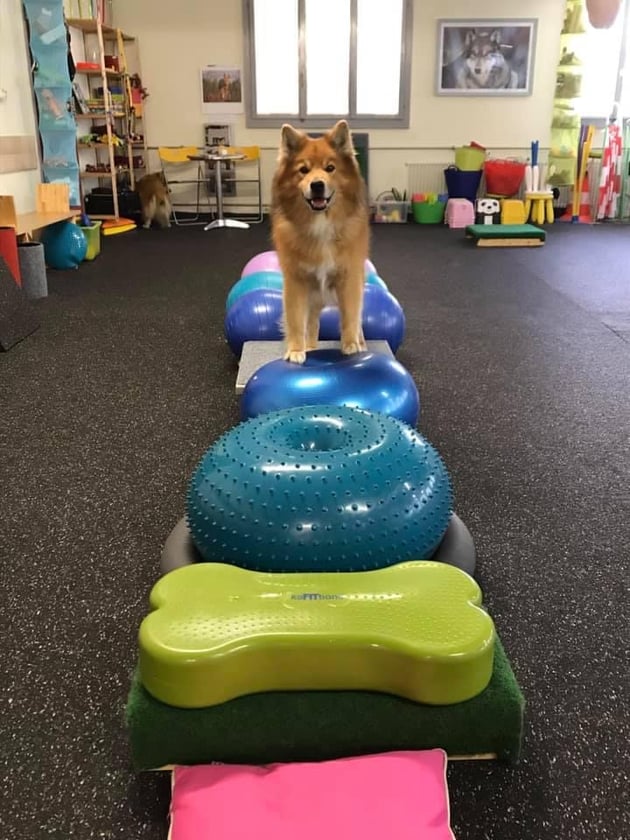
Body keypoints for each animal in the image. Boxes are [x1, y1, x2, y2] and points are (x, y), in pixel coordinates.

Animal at [271, 120, 370, 364]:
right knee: (312, 324)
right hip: (313, 300)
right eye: (303, 170)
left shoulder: (349, 278)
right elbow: (297, 321)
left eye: (330, 168)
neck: (321, 223)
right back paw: (311, 347)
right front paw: (297, 350)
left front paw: (351, 345)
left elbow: (350, 315)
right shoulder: (296, 282)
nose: (317, 184)